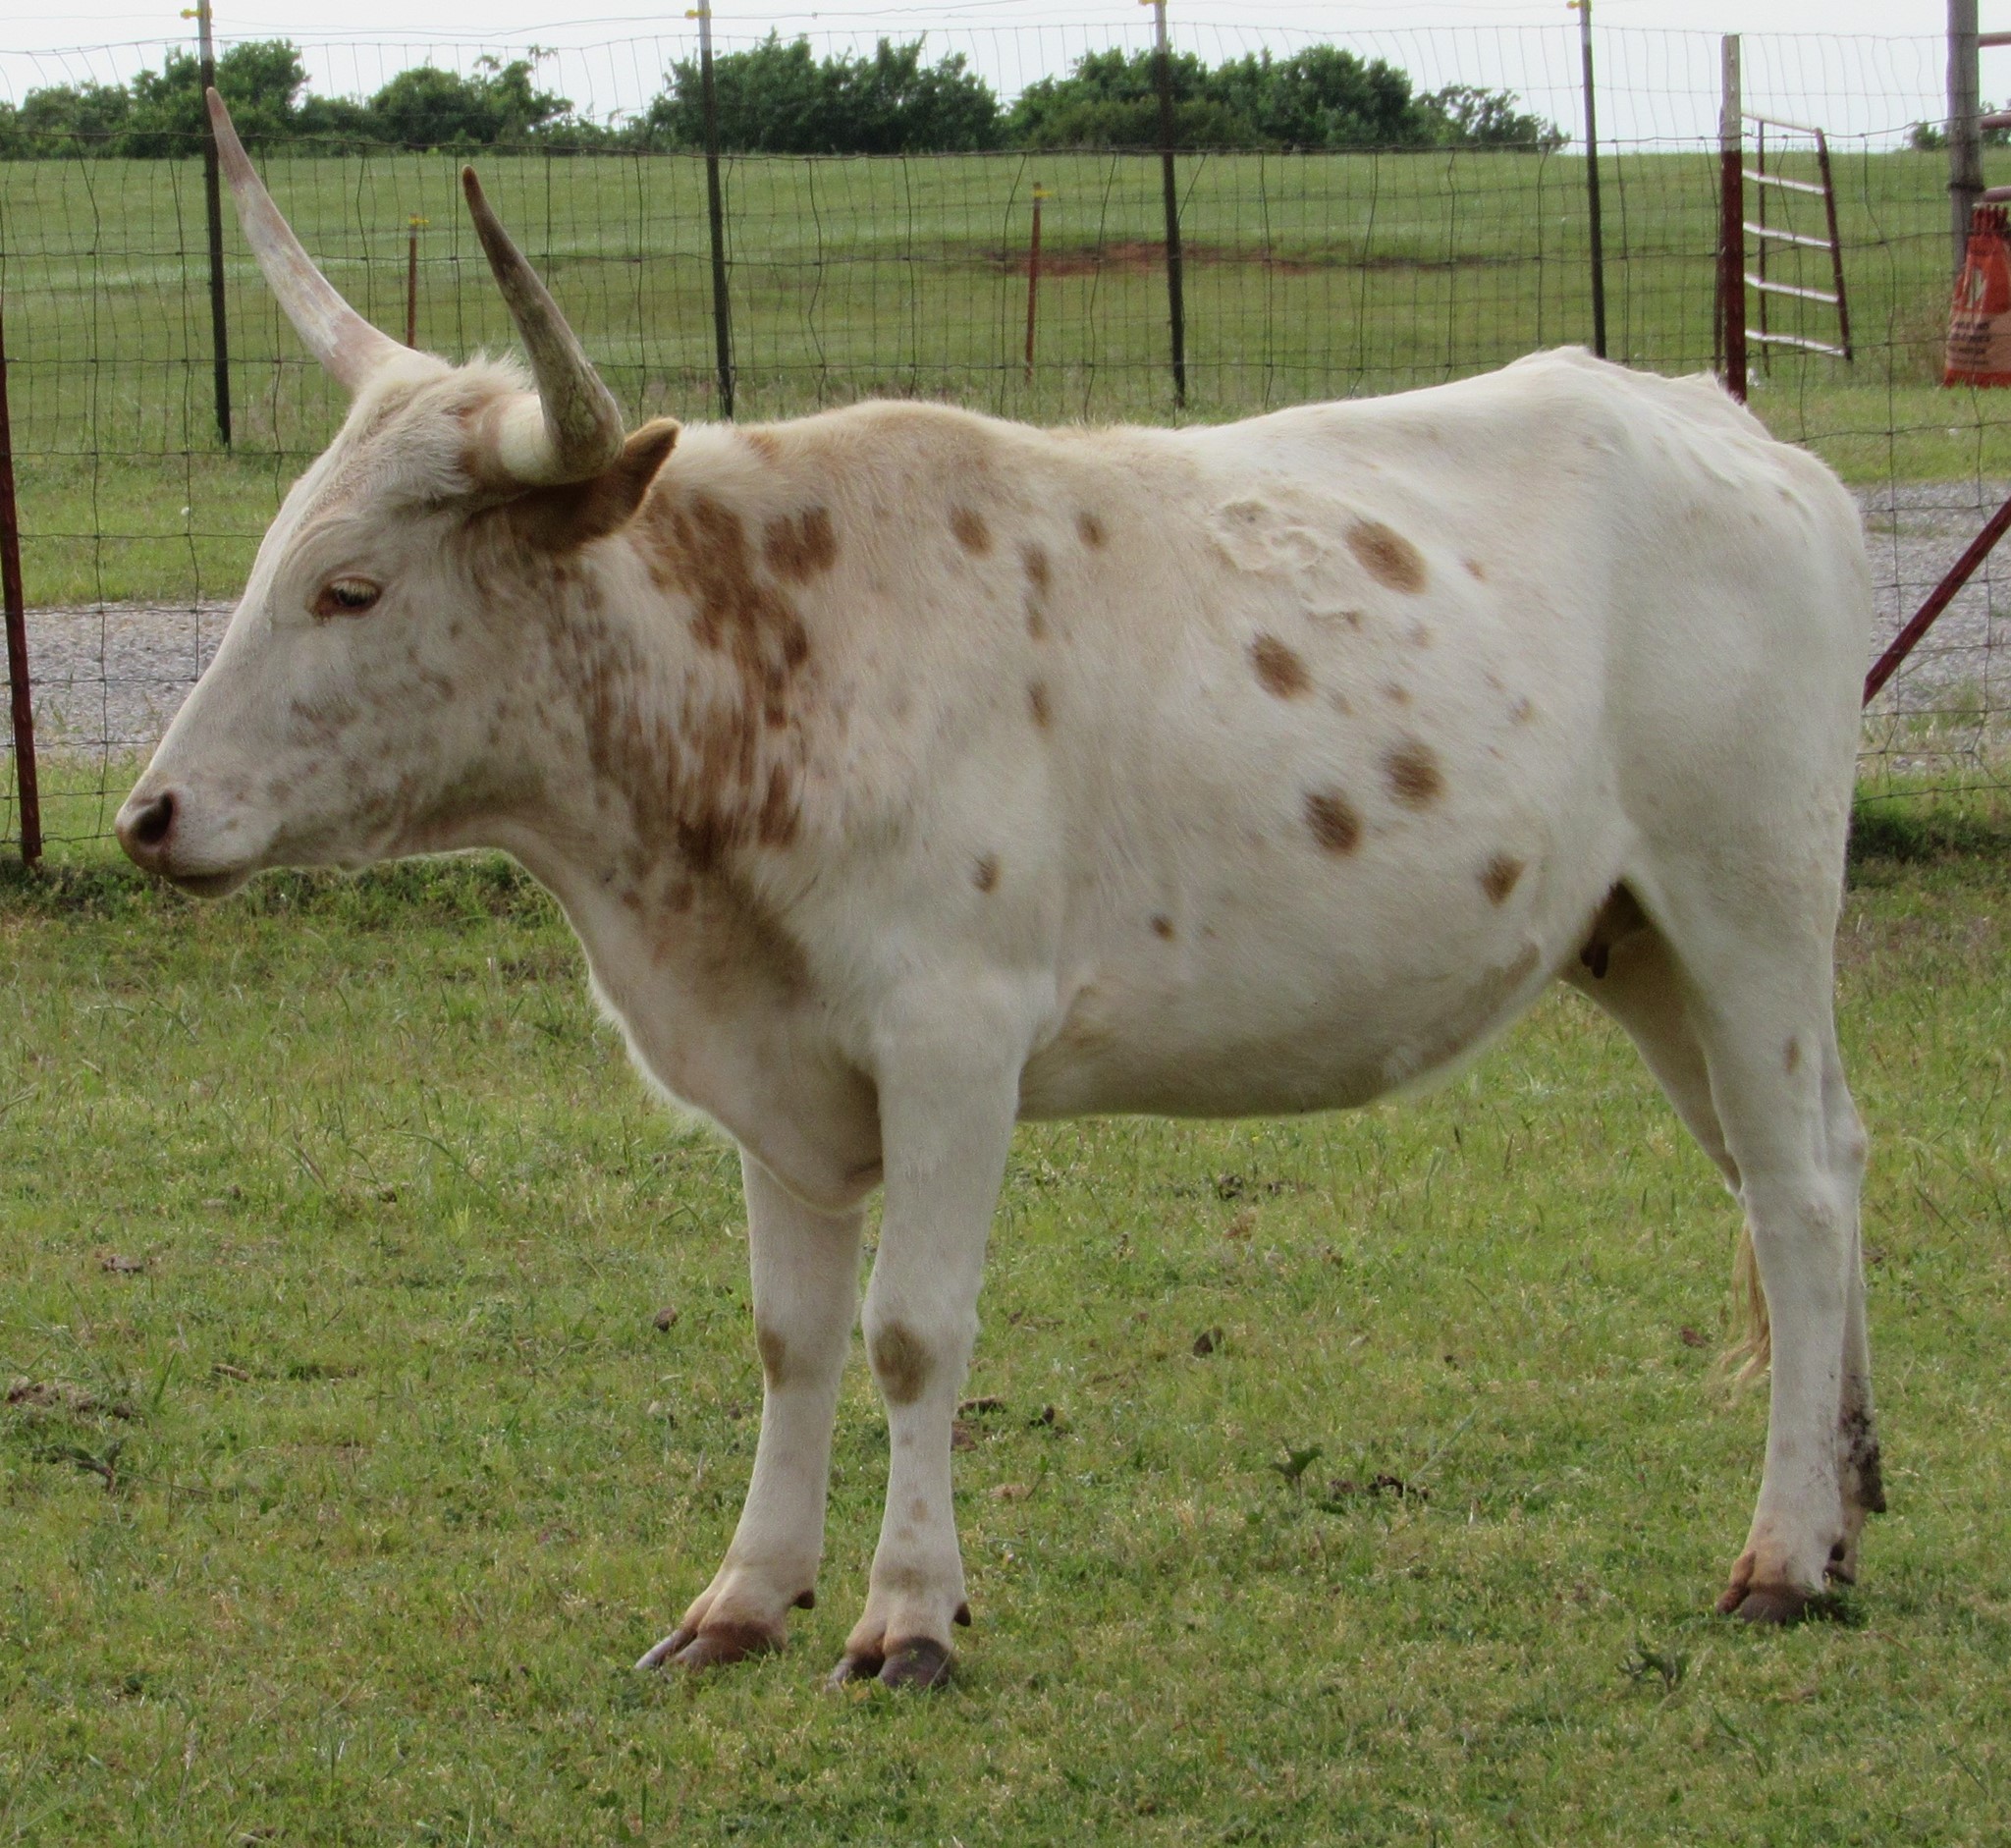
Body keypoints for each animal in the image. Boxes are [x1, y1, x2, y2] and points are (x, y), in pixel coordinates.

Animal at [117, 92, 1880, 1690]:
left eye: (353, 589)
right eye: (278, 556)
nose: (150, 813)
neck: (757, 671)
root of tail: (1726, 427)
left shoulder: (952, 1040)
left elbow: (912, 1331)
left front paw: (906, 1615)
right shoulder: (775, 1071)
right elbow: (790, 1335)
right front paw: (743, 1598)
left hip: (1751, 905)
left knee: (1796, 1197)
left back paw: (1782, 1559)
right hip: (1638, 941)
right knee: (1798, 1170)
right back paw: (1851, 1497)